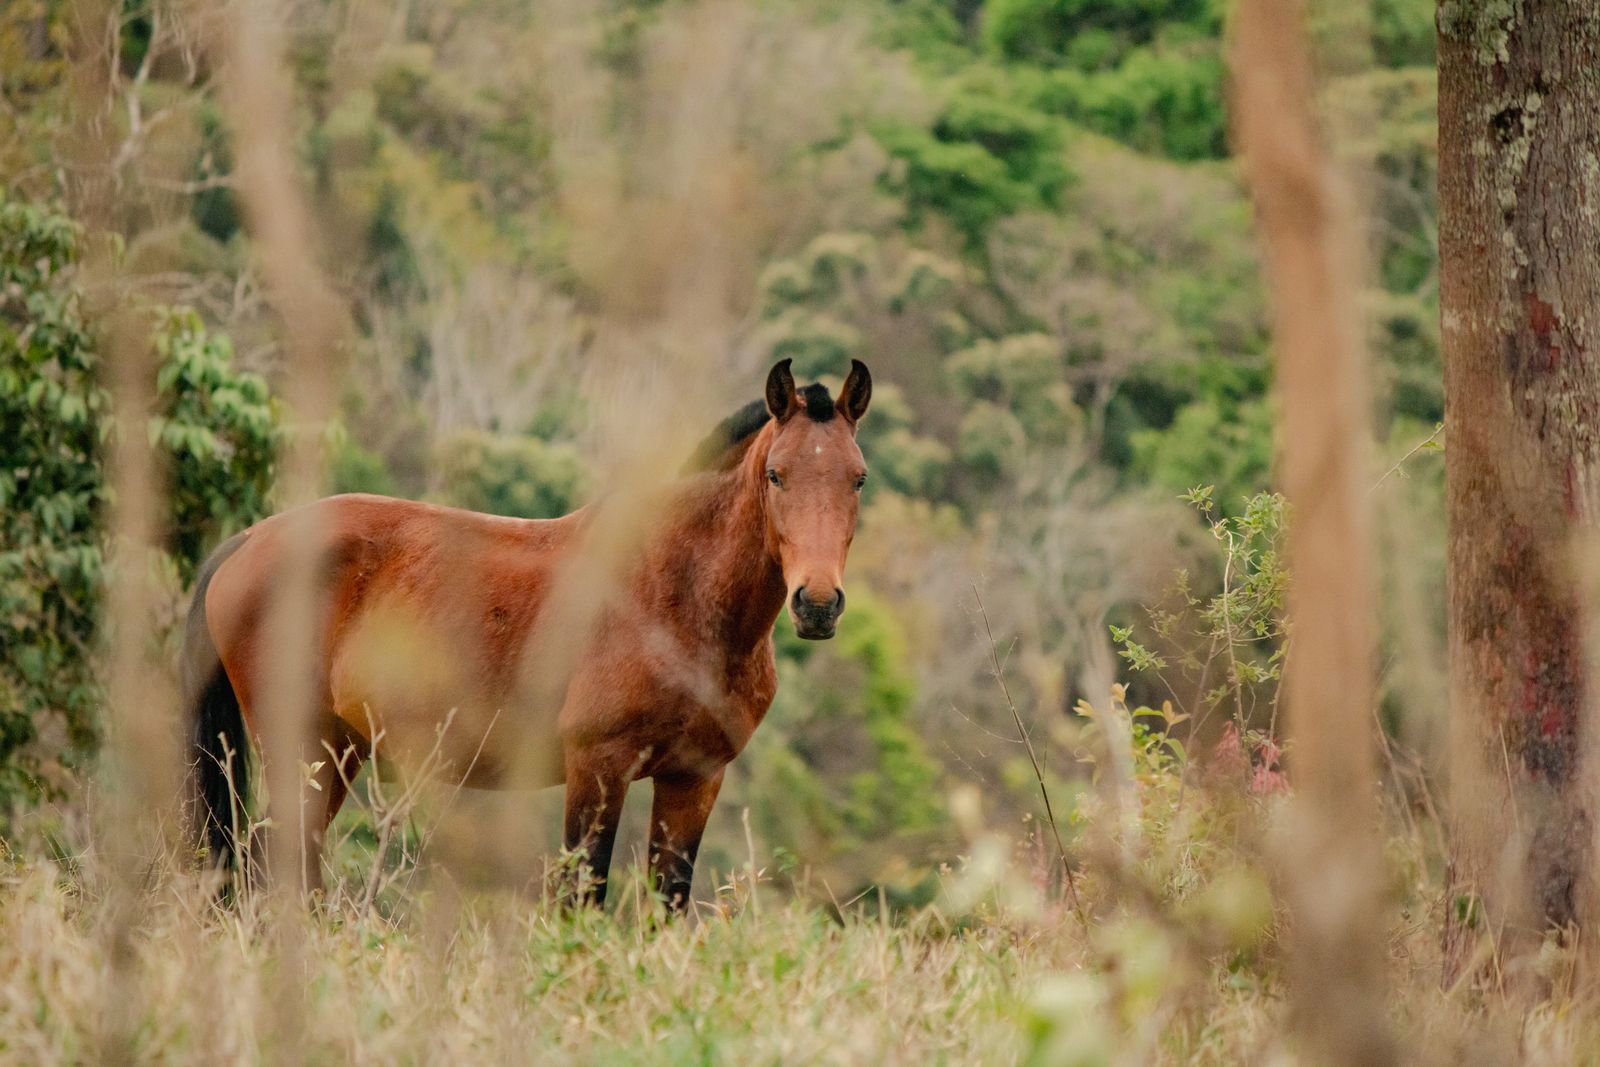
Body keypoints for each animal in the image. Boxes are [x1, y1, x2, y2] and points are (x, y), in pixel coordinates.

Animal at [182, 358, 871, 910]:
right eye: (777, 474)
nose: (817, 604)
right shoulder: (597, 768)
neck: (674, 595)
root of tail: (249, 540)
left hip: (336, 753)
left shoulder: (693, 780)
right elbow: (580, 898)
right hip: (301, 749)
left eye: (857, 477)